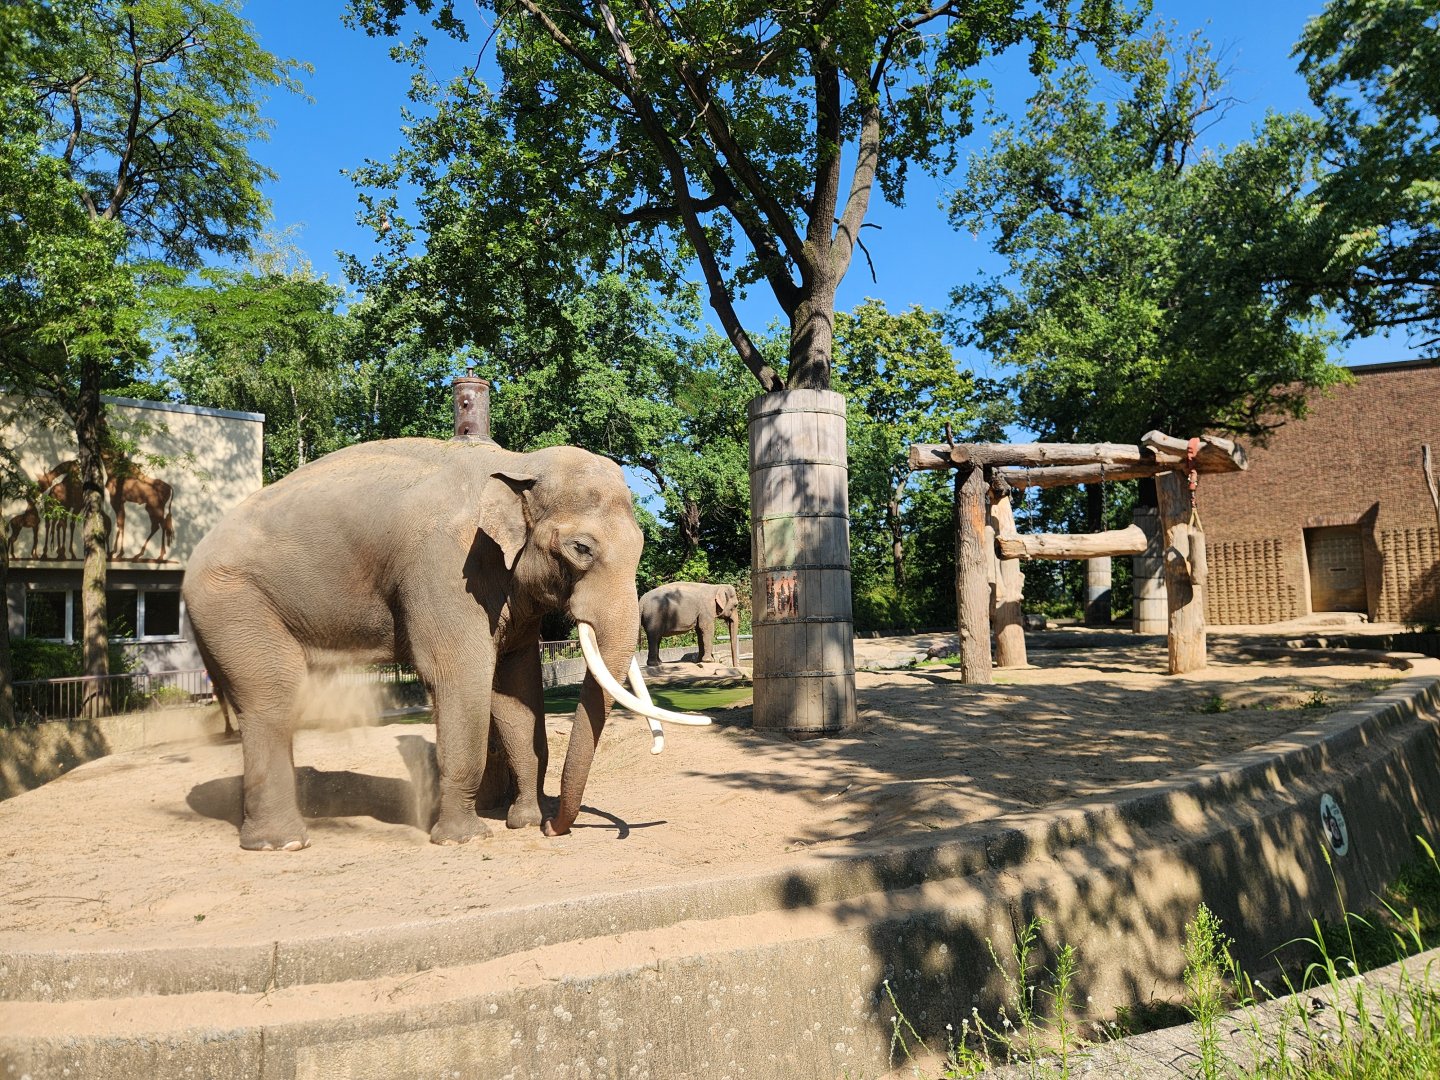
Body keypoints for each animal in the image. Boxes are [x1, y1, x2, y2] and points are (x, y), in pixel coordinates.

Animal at [182, 437, 707, 851]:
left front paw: (524, 822)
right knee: (272, 696)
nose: (556, 829)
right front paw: (465, 837)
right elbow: (462, 676)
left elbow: (515, 688)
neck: (518, 463)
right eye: (581, 549)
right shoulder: (445, 568)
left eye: (642, 546)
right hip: (232, 600)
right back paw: (284, 842)